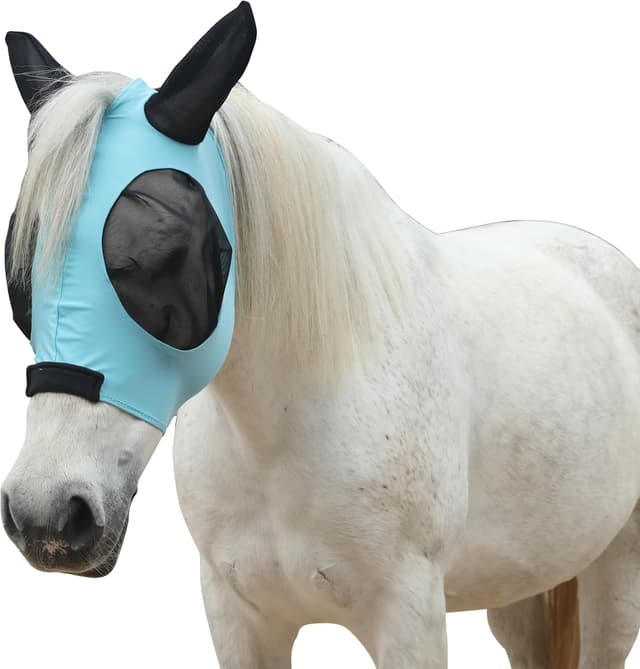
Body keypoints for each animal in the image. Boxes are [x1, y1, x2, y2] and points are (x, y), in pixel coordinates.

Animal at [2, 3, 640, 668]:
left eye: (167, 252)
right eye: (19, 262)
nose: (48, 514)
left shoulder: (408, 618)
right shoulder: (239, 616)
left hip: (616, 570)